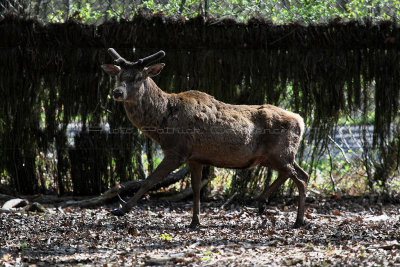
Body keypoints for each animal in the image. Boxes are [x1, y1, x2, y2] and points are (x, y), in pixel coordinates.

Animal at [100, 48, 310, 228]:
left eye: (138, 77)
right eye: (118, 76)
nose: (117, 92)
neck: (163, 124)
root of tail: (301, 121)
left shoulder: (178, 151)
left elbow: (149, 180)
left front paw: (120, 210)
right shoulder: (195, 158)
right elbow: (195, 188)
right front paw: (195, 221)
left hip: (280, 153)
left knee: (300, 178)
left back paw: (298, 220)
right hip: (274, 156)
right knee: (300, 174)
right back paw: (261, 202)